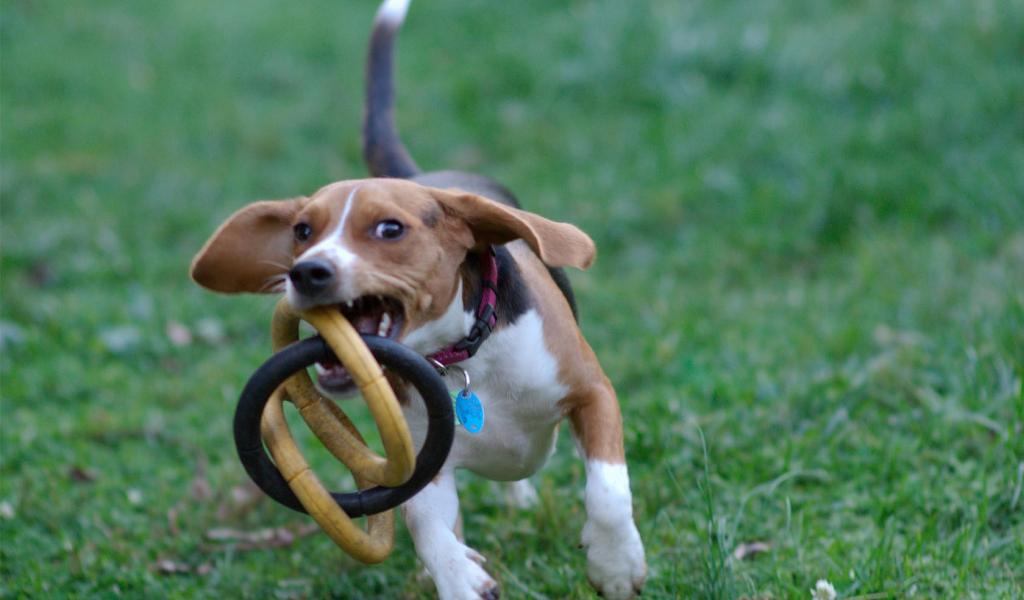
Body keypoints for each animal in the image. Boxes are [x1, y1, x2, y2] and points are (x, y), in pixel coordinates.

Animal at [190, 1, 646, 598]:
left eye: (389, 229)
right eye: (302, 231)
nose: (306, 272)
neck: (464, 360)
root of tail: (422, 176)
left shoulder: (592, 393)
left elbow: (609, 492)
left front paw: (616, 566)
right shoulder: (423, 466)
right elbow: (430, 532)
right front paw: (458, 577)